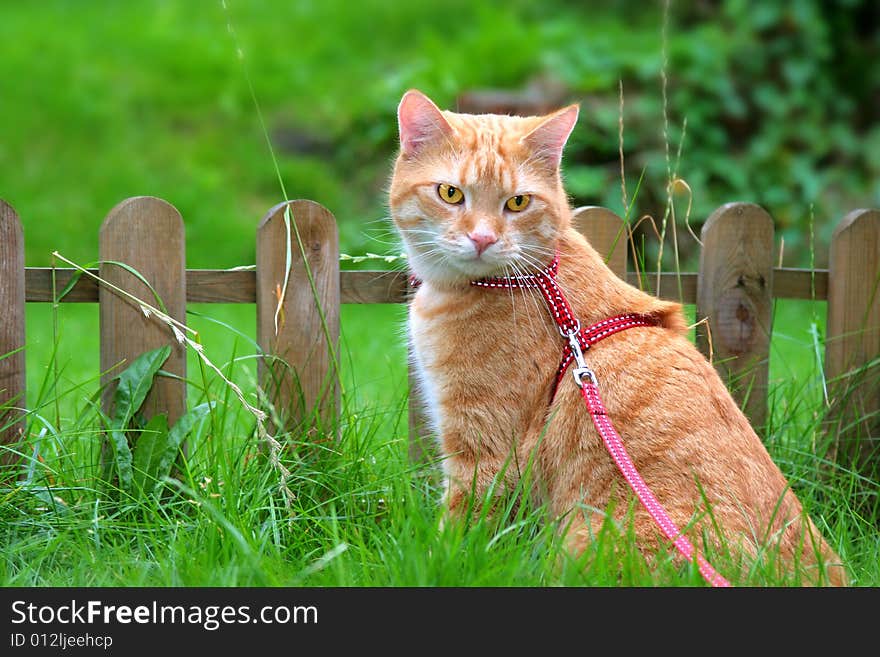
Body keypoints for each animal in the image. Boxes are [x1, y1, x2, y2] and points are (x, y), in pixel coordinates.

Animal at [390, 87, 844, 584]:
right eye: (451, 193)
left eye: (518, 203)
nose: (483, 239)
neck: (521, 280)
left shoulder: (485, 452)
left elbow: (458, 535)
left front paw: (433, 562)